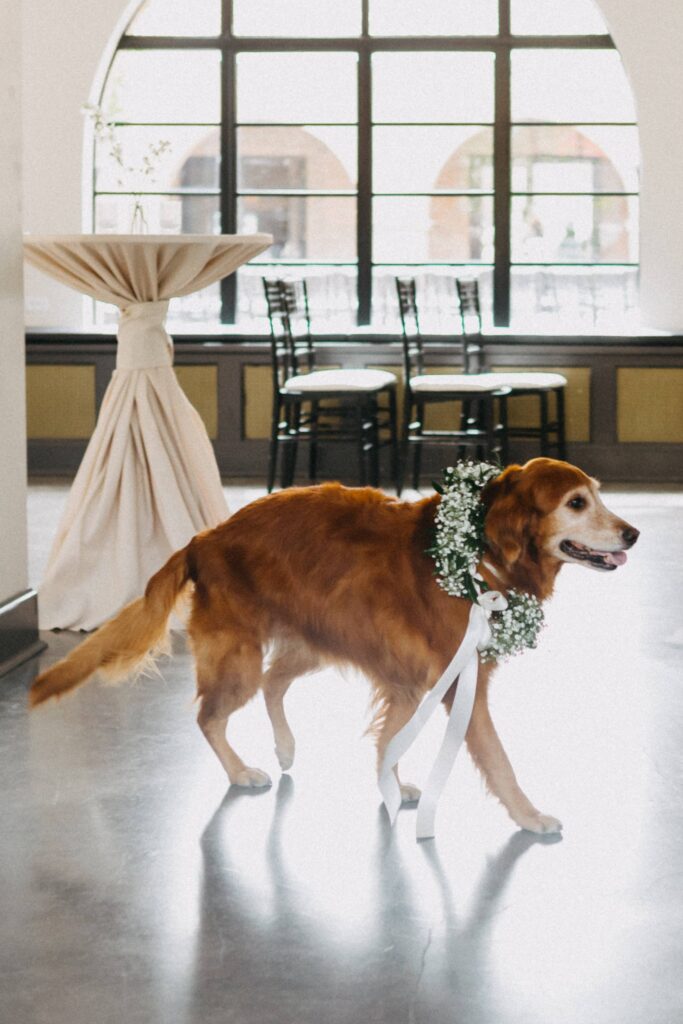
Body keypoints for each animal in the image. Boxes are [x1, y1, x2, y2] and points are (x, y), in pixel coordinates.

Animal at [29, 460, 638, 835]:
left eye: (597, 494)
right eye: (577, 503)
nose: (631, 533)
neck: (479, 550)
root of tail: (203, 538)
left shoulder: (406, 680)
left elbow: (389, 739)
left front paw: (390, 783)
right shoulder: (459, 685)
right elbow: (499, 761)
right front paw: (529, 817)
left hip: (316, 641)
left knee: (273, 682)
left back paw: (285, 746)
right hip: (241, 658)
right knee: (209, 715)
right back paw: (241, 770)